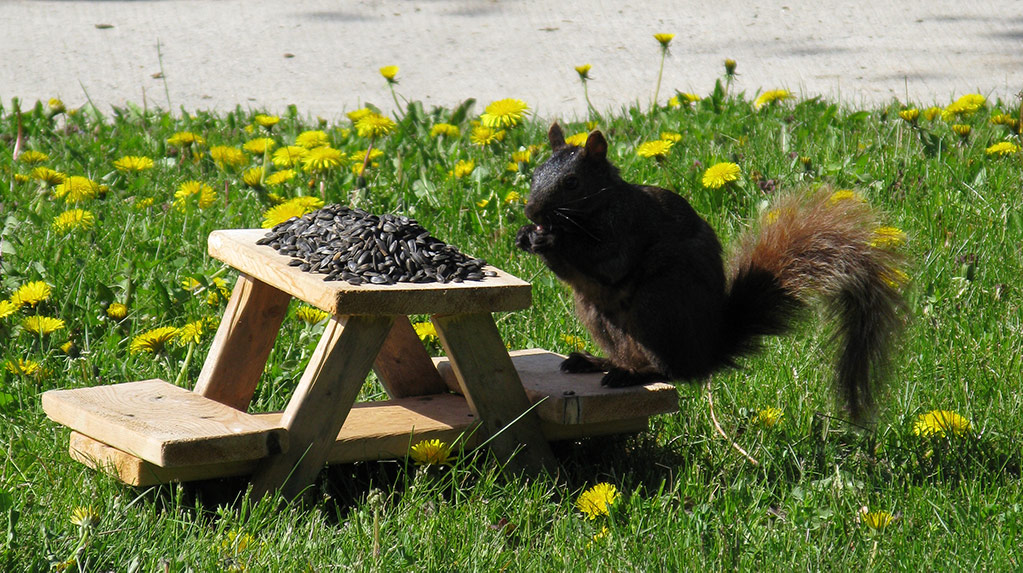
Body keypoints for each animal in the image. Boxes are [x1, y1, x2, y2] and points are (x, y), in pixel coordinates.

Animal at [515, 125, 908, 421]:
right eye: (535, 174)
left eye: (571, 182)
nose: (532, 210)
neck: (594, 210)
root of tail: (705, 353)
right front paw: (525, 235)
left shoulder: (628, 227)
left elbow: (607, 262)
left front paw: (550, 238)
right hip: (597, 314)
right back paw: (597, 363)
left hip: (656, 305)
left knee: (671, 371)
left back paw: (633, 374)